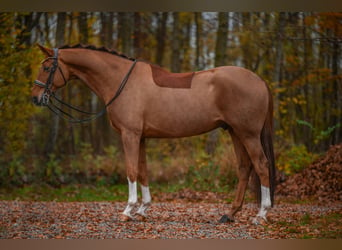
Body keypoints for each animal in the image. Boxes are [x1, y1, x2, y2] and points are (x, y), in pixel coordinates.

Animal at [32, 44, 276, 224]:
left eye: (47, 68)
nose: (35, 97)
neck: (121, 81)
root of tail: (260, 80)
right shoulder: (140, 137)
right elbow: (143, 171)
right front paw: (142, 210)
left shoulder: (129, 135)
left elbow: (131, 171)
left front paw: (127, 211)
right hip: (235, 132)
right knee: (244, 167)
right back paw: (230, 214)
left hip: (248, 134)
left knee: (261, 165)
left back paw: (261, 214)